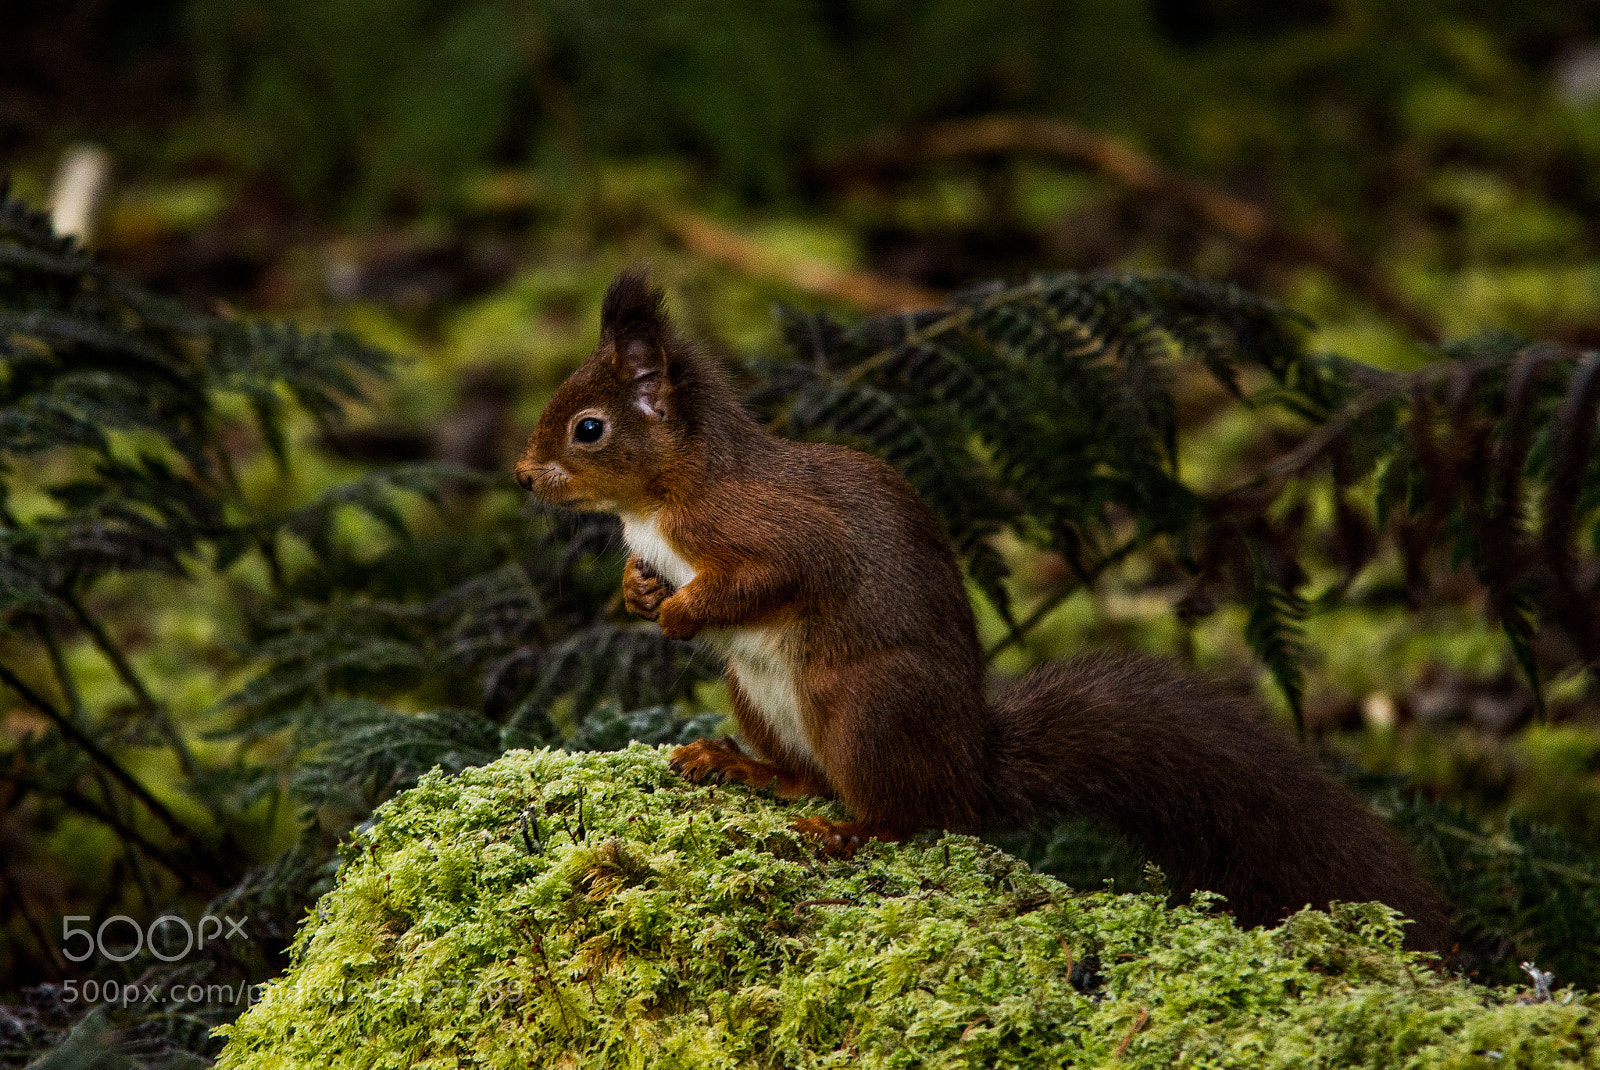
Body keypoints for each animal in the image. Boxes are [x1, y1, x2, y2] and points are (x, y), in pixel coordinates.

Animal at [514, 268, 1453, 951]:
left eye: (589, 429)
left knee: (917, 815)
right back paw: (741, 766)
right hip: (761, 698)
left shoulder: (775, 531)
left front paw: (681, 613)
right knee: (808, 775)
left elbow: (776, 575)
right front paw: (638, 593)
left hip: (863, 706)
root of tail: (968, 763)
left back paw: (850, 832)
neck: (665, 499)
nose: (522, 477)